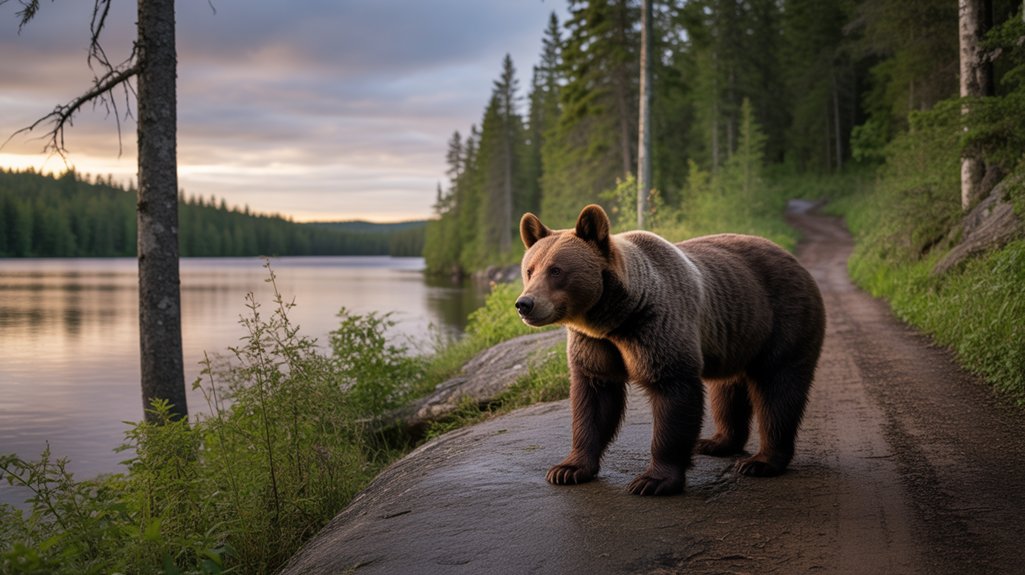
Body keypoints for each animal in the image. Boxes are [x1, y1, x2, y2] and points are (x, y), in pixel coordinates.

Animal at [515, 204, 825, 496]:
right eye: (529, 270)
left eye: (556, 270)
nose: (524, 304)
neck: (615, 318)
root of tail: (795, 261)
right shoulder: (595, 345)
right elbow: (594, 400)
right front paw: (567, 469)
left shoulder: (658, 326)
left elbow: (673, 394)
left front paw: (653, 481)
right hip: (737, 335)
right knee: (727, 389)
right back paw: (717, 442)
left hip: (784, 320)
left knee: (778, 388)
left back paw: (761, 462)